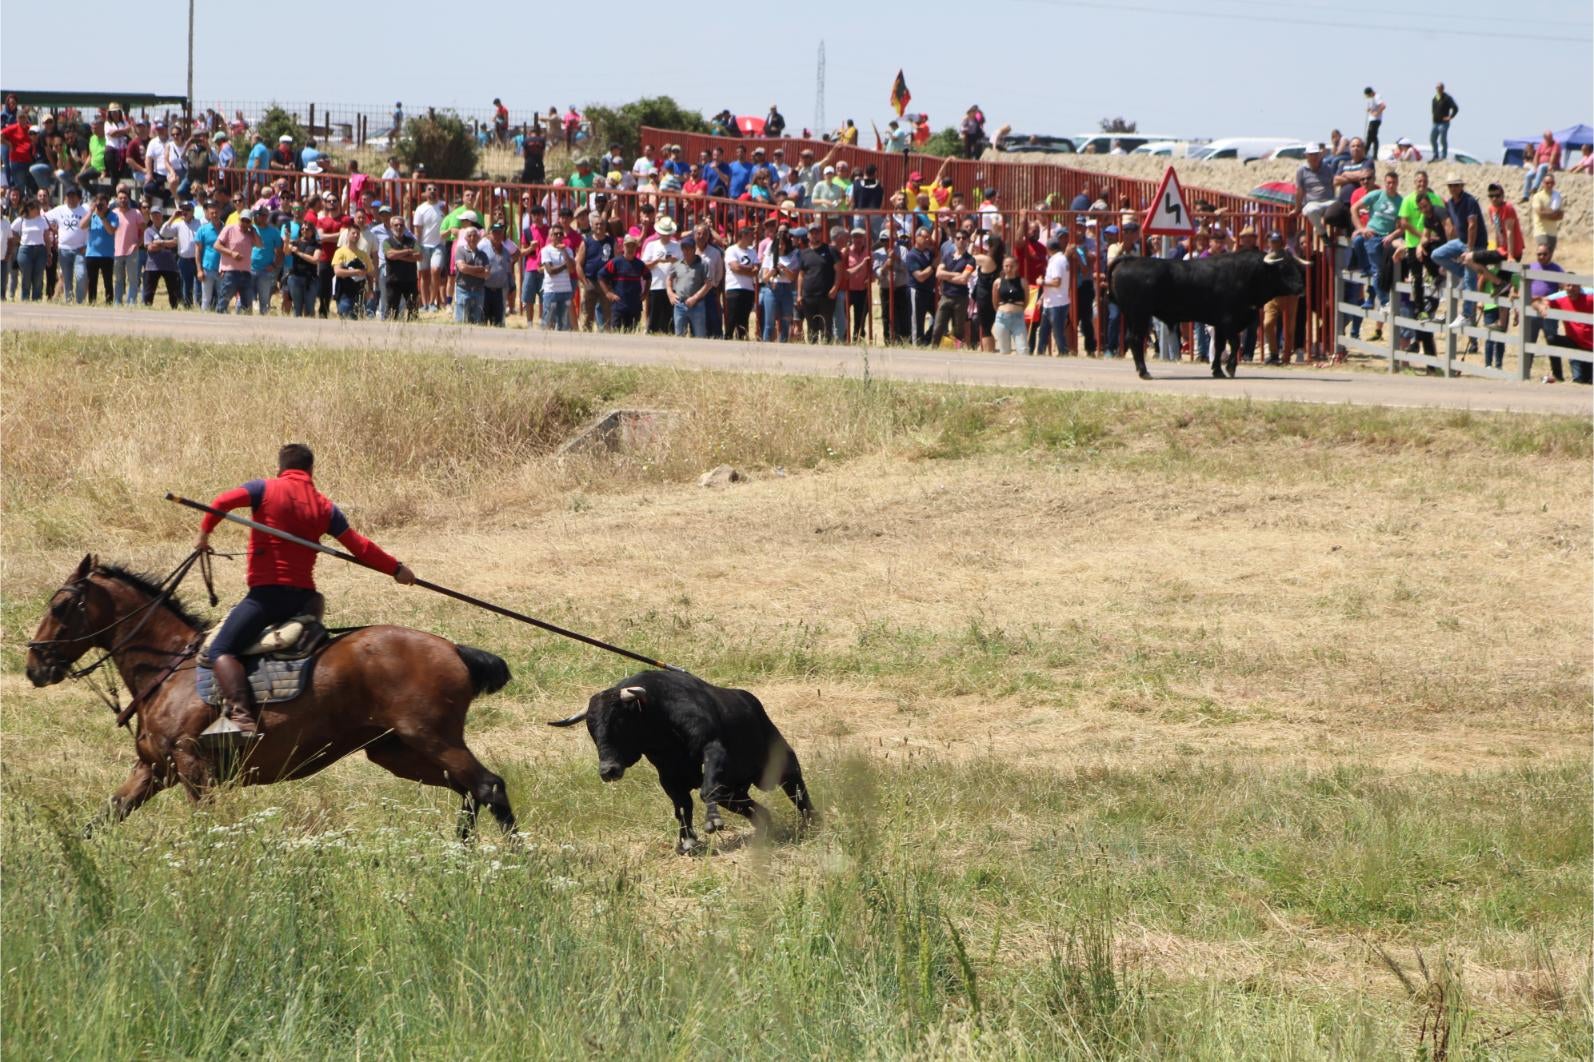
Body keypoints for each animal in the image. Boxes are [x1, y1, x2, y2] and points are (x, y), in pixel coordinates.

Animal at [24, 554, 519, 835]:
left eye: (60, 606)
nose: (34, 667)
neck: (167, 670)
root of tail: (452, 648)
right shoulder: (153, 770)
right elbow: (101, 821)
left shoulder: (191, 766)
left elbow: (211, 828)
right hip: (395, 751)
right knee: (469, 791)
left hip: (432, 738)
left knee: (488, 786)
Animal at [1109, 248, 1307, 377]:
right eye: (1284, 269)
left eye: (1297, 267)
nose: (1301, 287)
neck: (1248, 274)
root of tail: (1129, 260)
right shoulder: (1229, 321)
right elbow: (1235, 344)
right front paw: (1230, 368)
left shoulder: (1220, 324)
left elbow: (1219, 347)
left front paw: (1217, 370)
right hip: (1139, 315)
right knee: (1135, 339)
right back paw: (1144, 372)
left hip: (1132, 316)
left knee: (1130, 339)